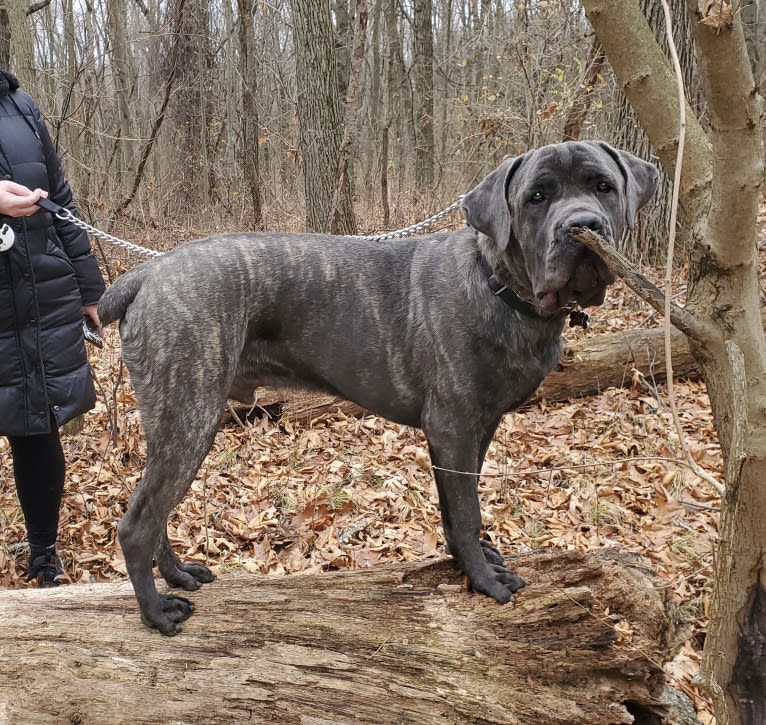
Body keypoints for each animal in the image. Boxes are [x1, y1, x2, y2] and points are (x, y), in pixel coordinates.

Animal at [97, 143, 660, 632]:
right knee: (137, 523)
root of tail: (146, 274)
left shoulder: (478, 428)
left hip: (174, 423)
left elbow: (459, 506)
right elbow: (466, 511)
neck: (499, 287)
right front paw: (484, 580)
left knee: (155, 510)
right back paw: (156, 612)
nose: (582, 225)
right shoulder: (452, 426)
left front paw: (475, 561)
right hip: (190, 416)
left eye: (604, 187)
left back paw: (178, 575)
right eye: (536, 197)